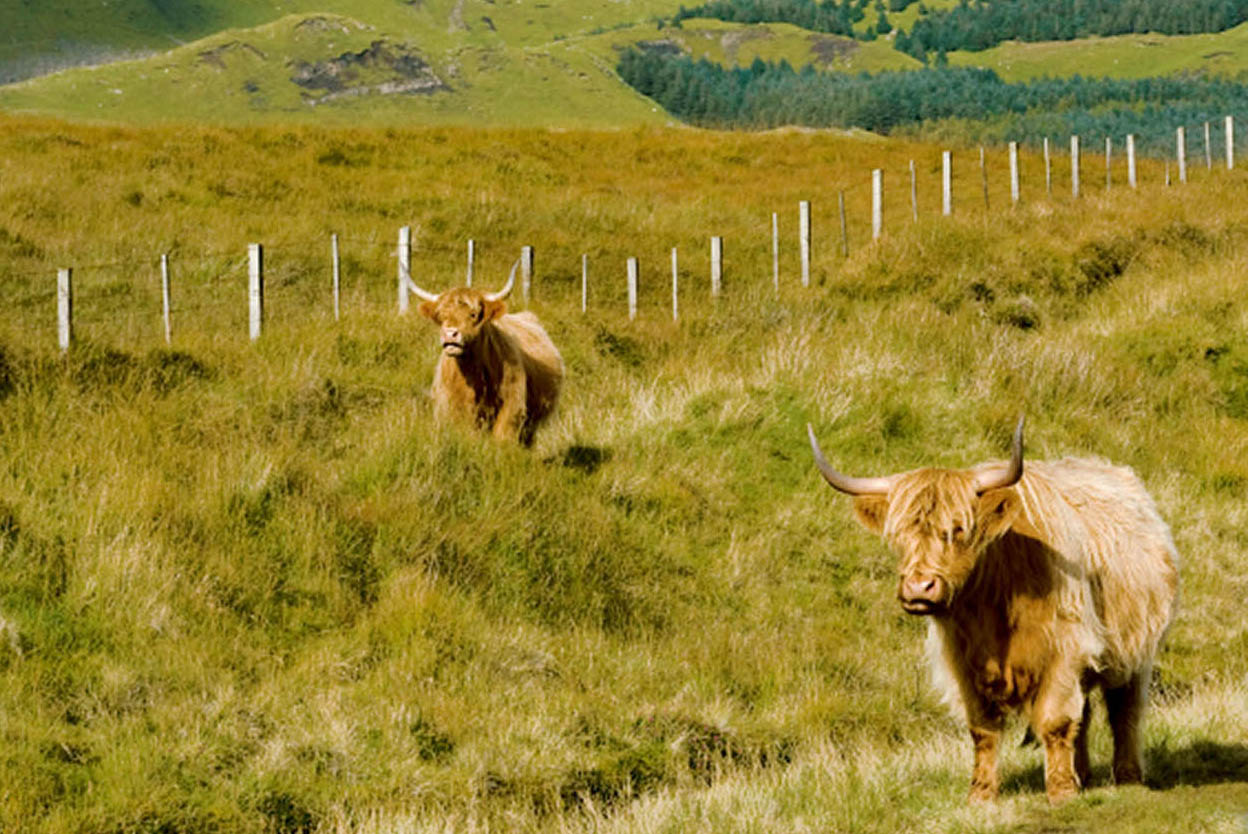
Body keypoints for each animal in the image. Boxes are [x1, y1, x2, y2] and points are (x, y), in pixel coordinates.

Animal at [406, 260, 564, 446]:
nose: (450, 334)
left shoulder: (512, 408)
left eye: (473, 314)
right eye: (441, 316)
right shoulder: (449, 409)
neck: (473, 376)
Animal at [808, 419, 1178, 804]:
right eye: (898, 537)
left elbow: (1056, 720)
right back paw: (1085, 776)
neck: (994, 603)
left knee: (1125, 711)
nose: (919, 588)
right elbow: (983, 730)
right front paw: (982, 794)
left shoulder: (1065, 651)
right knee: (1087, 715)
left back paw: (1129, 777)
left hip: (1135, 653)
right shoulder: (963, 663)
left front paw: (1061, 792)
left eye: (958, 530)